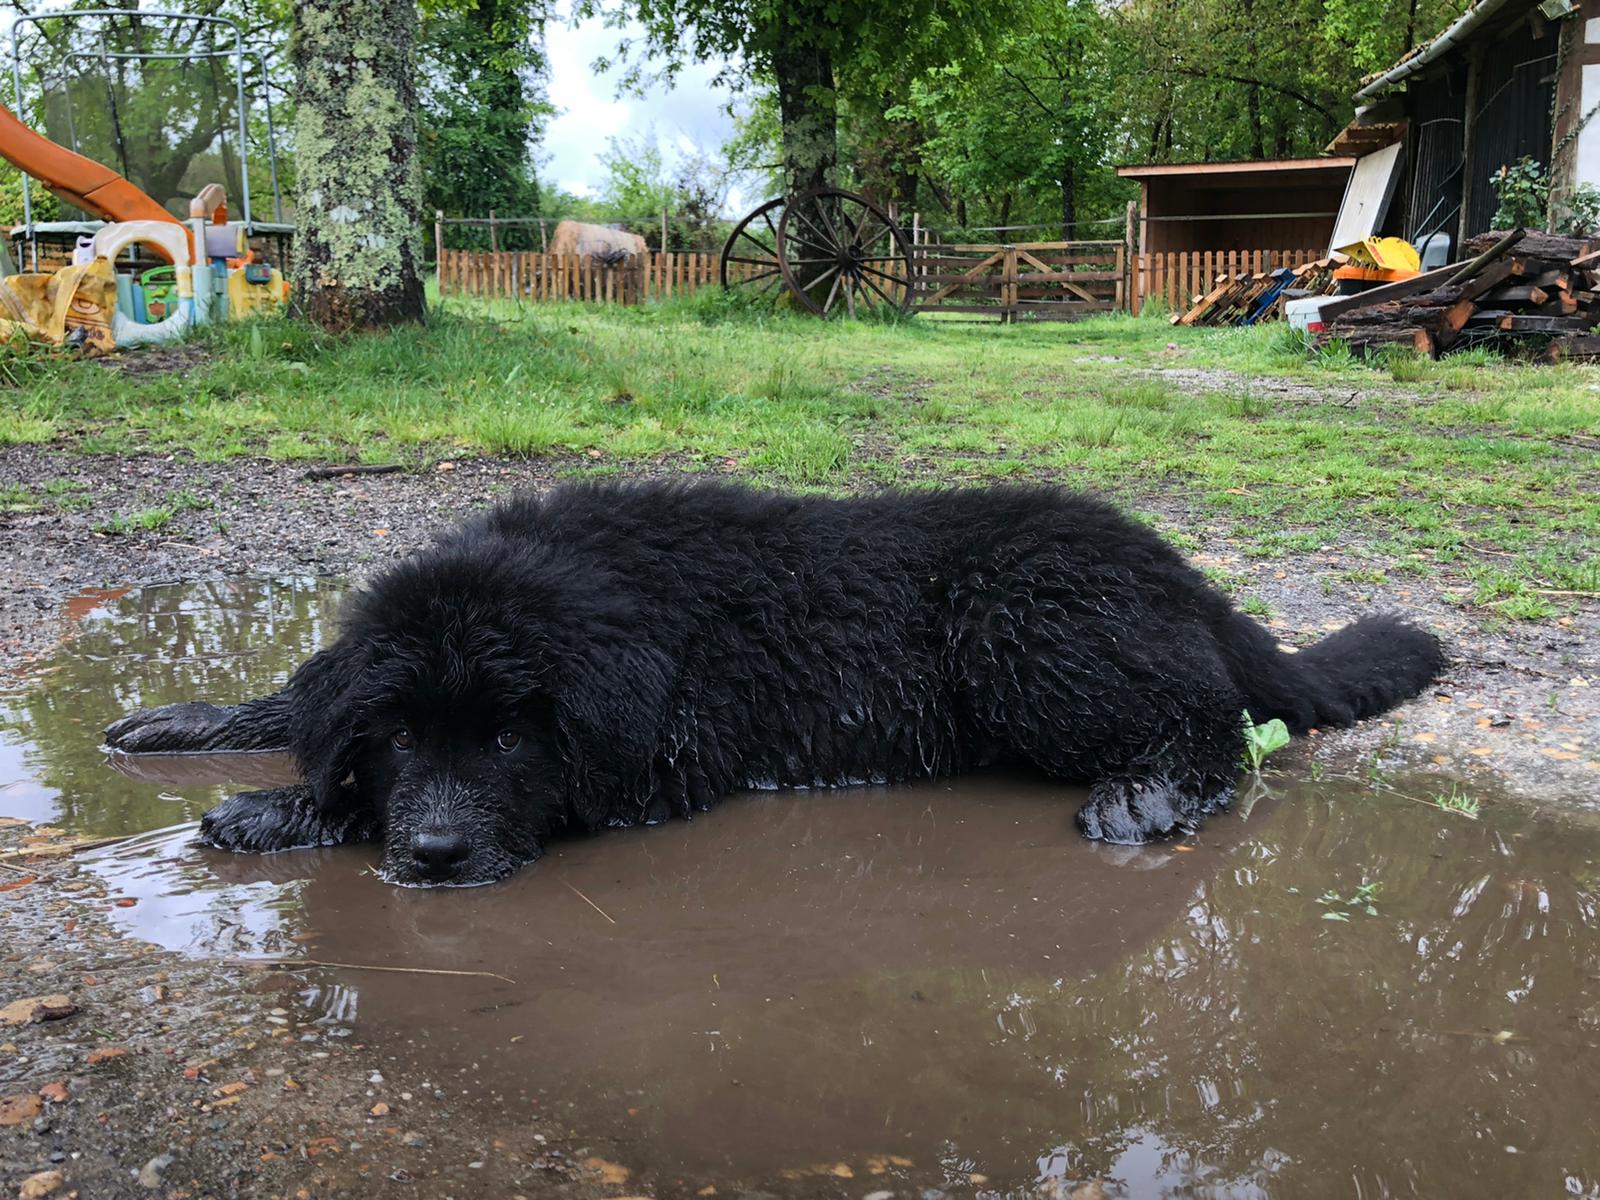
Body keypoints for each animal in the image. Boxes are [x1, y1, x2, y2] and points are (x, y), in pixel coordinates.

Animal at [106, 483, 1446, 889]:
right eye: (393, 735)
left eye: (507, 736)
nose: (433, 858)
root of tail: (1178, 570)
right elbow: (300, 698)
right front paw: (195, 723)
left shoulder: (654, 768)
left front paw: (280, 810)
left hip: (1027, 628)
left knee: (1222, 724)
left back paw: (1151, 796)